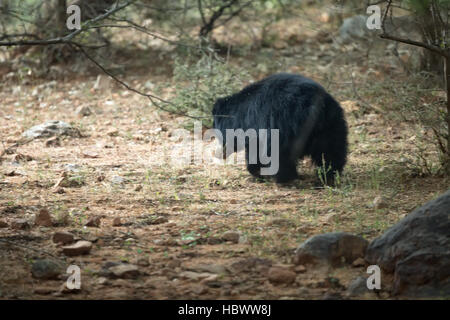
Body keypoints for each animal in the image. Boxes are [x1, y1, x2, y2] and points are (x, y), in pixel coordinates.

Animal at [211, 72, 348, 182]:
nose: (217, 154)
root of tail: (316, 107)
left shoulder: (259, 125)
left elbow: (257, 150)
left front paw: (257, 172)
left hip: (286, 125)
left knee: (281, 153)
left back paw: (284, 177)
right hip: (332, 124)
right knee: (331, 150)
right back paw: (329, 175)